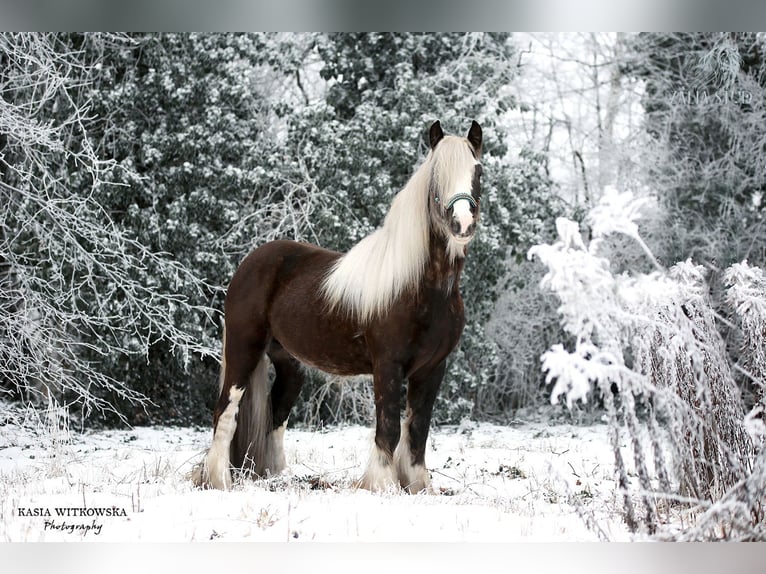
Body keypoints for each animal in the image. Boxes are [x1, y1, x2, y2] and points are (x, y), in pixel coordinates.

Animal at [193, 120, 483, 493]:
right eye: (436, 177)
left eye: (478, 171)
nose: (462, 224)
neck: (422, 287)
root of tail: (250, 263)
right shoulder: (388, 366)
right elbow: (389, 427)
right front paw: (382, 485)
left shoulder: (432, 369)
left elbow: (418, 430)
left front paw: (419, 486)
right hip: (244, 349)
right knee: (225, 412)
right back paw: (218, 481)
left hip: (289, 364)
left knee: (275, 415)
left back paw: (272, 477)